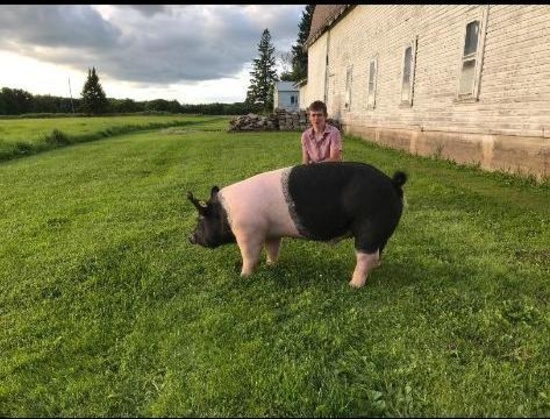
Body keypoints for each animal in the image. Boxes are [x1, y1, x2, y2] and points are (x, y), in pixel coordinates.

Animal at [188, 162, 408, 288]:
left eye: (201, 218)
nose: (189, 237)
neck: (226, 213)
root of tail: (393, 183)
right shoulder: (271, 232)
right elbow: (272, 249)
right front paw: (270, 265)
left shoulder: (248, 232)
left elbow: (249, 256)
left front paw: (244, 276)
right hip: (382, 232)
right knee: (377, 254)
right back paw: (375, 269)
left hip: (370, 226)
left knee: (365, 257)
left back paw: (353, 285)